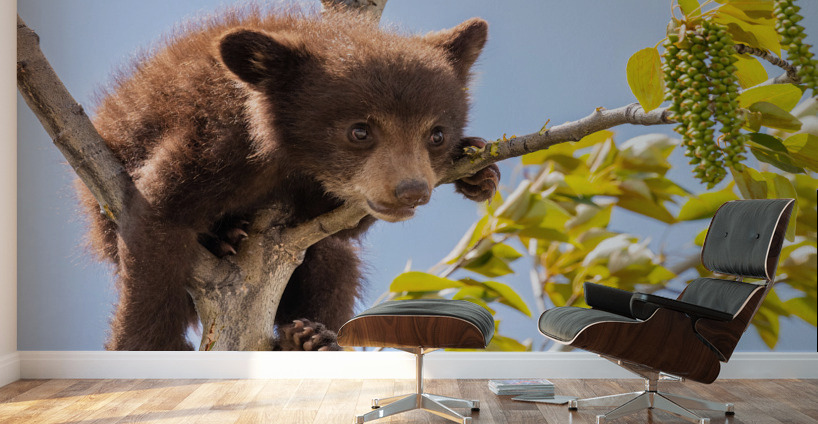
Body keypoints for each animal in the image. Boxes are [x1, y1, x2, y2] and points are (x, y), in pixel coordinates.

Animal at [78, 5, 500, 351]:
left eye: (437, 134)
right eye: (359, 131)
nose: (411, 190)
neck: (284, 156)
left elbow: (339, 229)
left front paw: (478, 167)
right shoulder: (210, 141)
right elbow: (158, 218)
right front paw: (145, 345)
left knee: (335, 263)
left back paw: (308, 340)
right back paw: (224, 237)